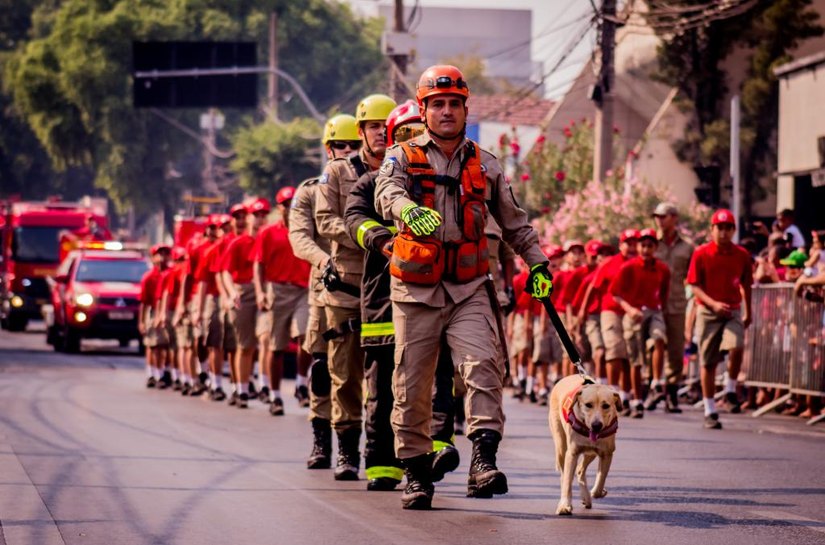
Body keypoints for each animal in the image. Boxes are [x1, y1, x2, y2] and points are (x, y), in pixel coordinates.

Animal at [548, 374, 616, 516]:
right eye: (588, 405)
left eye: (606, 405)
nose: (596, 425)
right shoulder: (572, 453)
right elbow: (567, 481)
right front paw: (565, 505)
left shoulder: (607, 453)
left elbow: (601, 478)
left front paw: (597, 492)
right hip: (561, 445)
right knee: (564, 475)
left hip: (591, 453)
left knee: (580, 469)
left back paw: (586, 497)